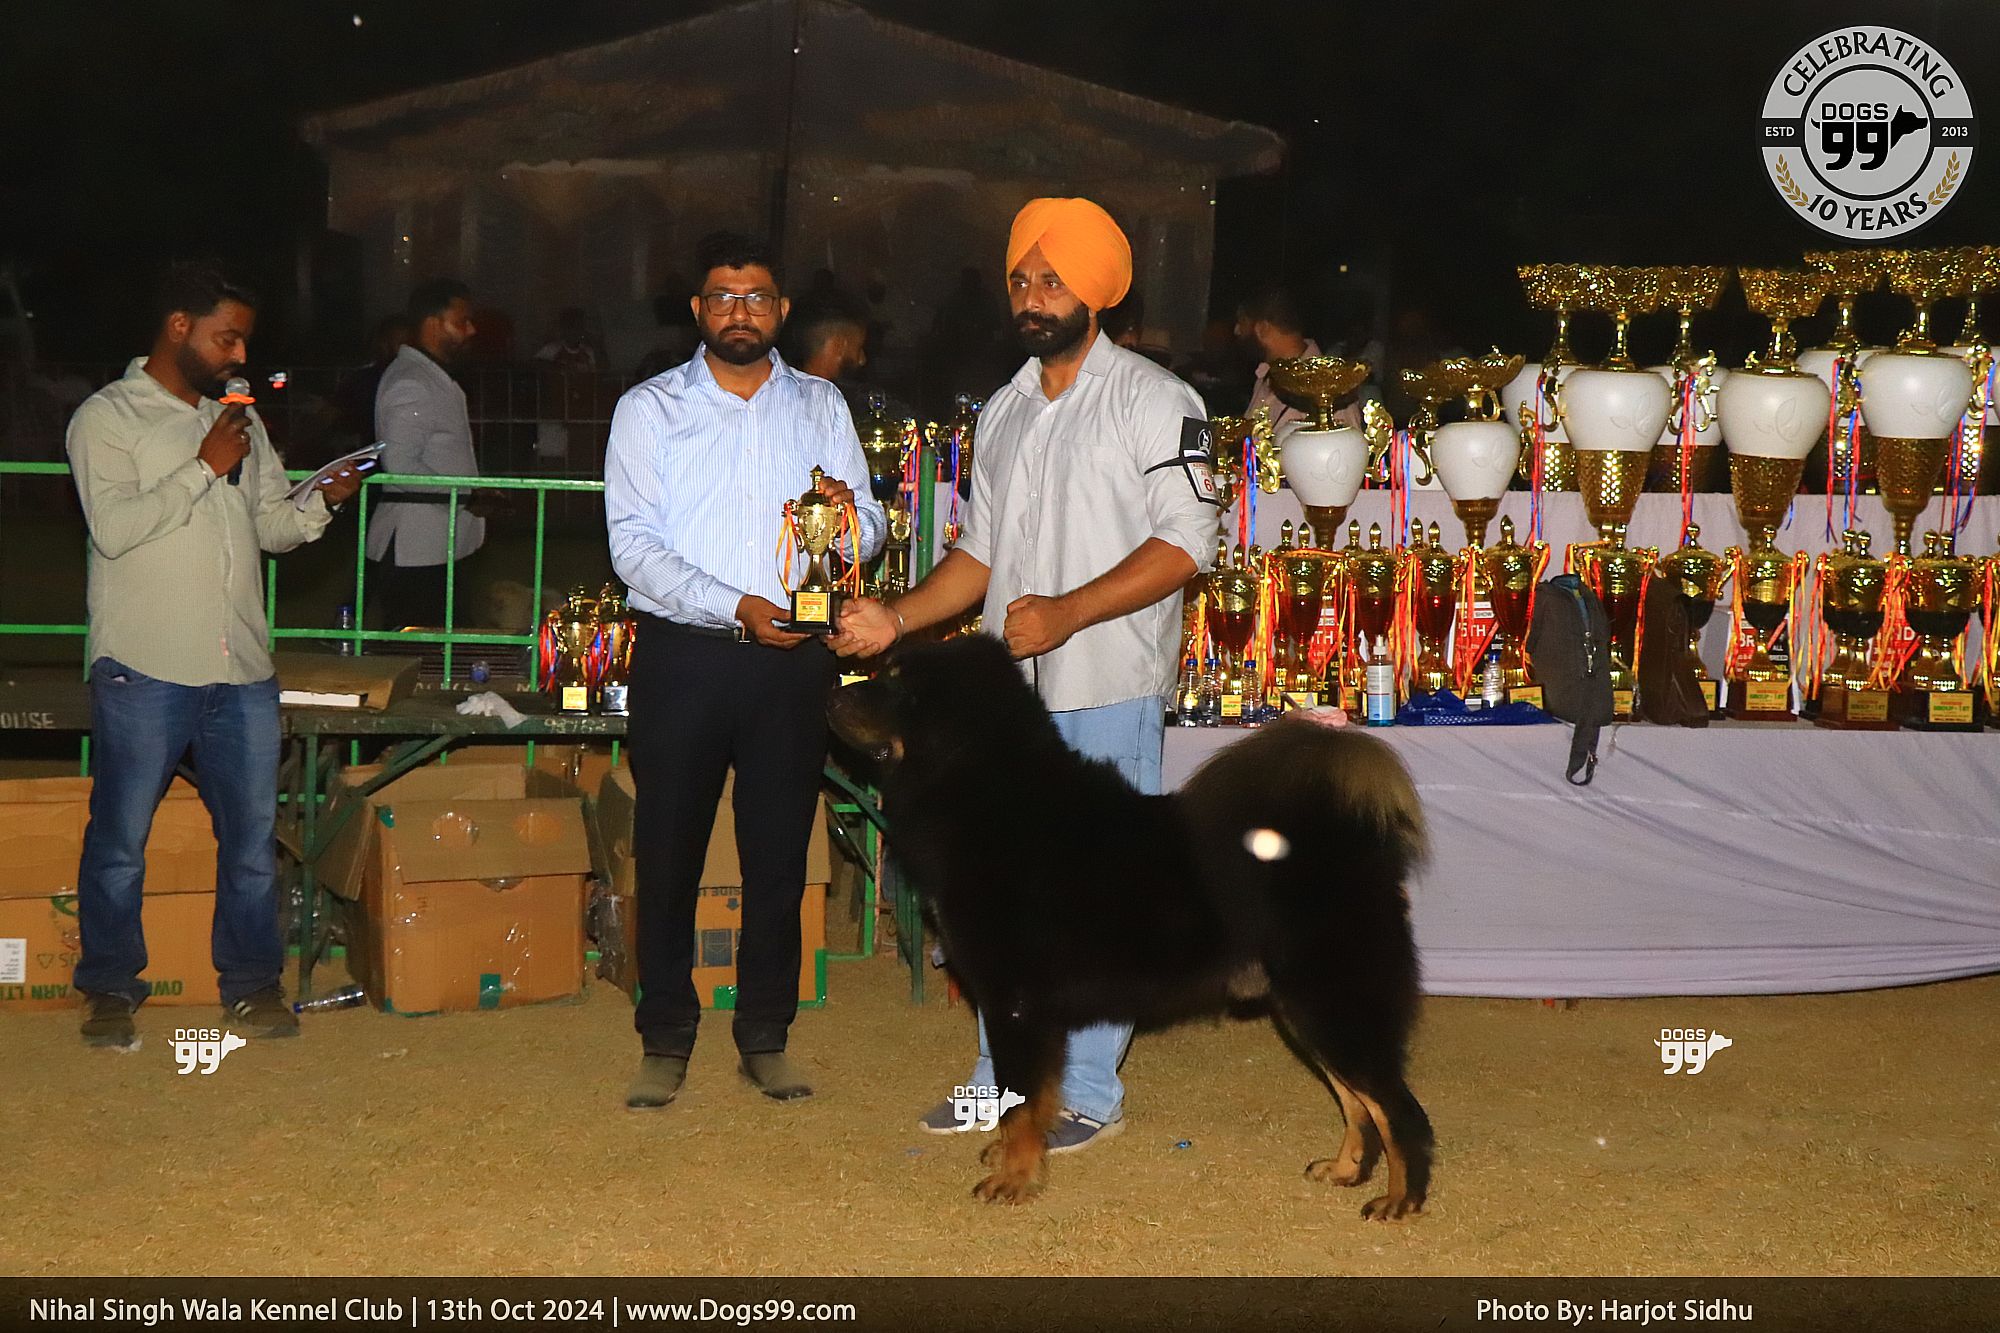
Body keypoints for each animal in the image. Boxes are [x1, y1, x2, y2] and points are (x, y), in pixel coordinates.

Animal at [827, 635, 1434, 1219]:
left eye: (897, 683)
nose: (834, 693)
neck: (989, 794)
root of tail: (1356, 845)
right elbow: (1029, 1100)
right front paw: (1016, 1159)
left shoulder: (1015, 1004)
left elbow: (1019, 1100)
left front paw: (1015, 1180)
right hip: (1307, 1011)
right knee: (1359, 1103)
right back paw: (1345, 1170)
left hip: (1330, 1004)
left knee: (1398, 1110)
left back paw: (1401, 1200)